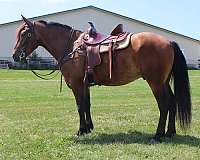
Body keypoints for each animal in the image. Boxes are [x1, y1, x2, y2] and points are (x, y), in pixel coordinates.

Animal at [13, 15, 191, 143]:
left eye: (26, 34)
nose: (15, 55)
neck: (71, 47)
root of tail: (168, 41)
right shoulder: (84, 84)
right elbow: (87, 105)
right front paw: (88, 128)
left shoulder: (76, 84)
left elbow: (80, 106)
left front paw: (80, 131)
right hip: (164, 82)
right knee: (172, 102)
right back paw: (170, 133)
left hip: (155, 83)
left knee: (164, 105)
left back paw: (158, 135)